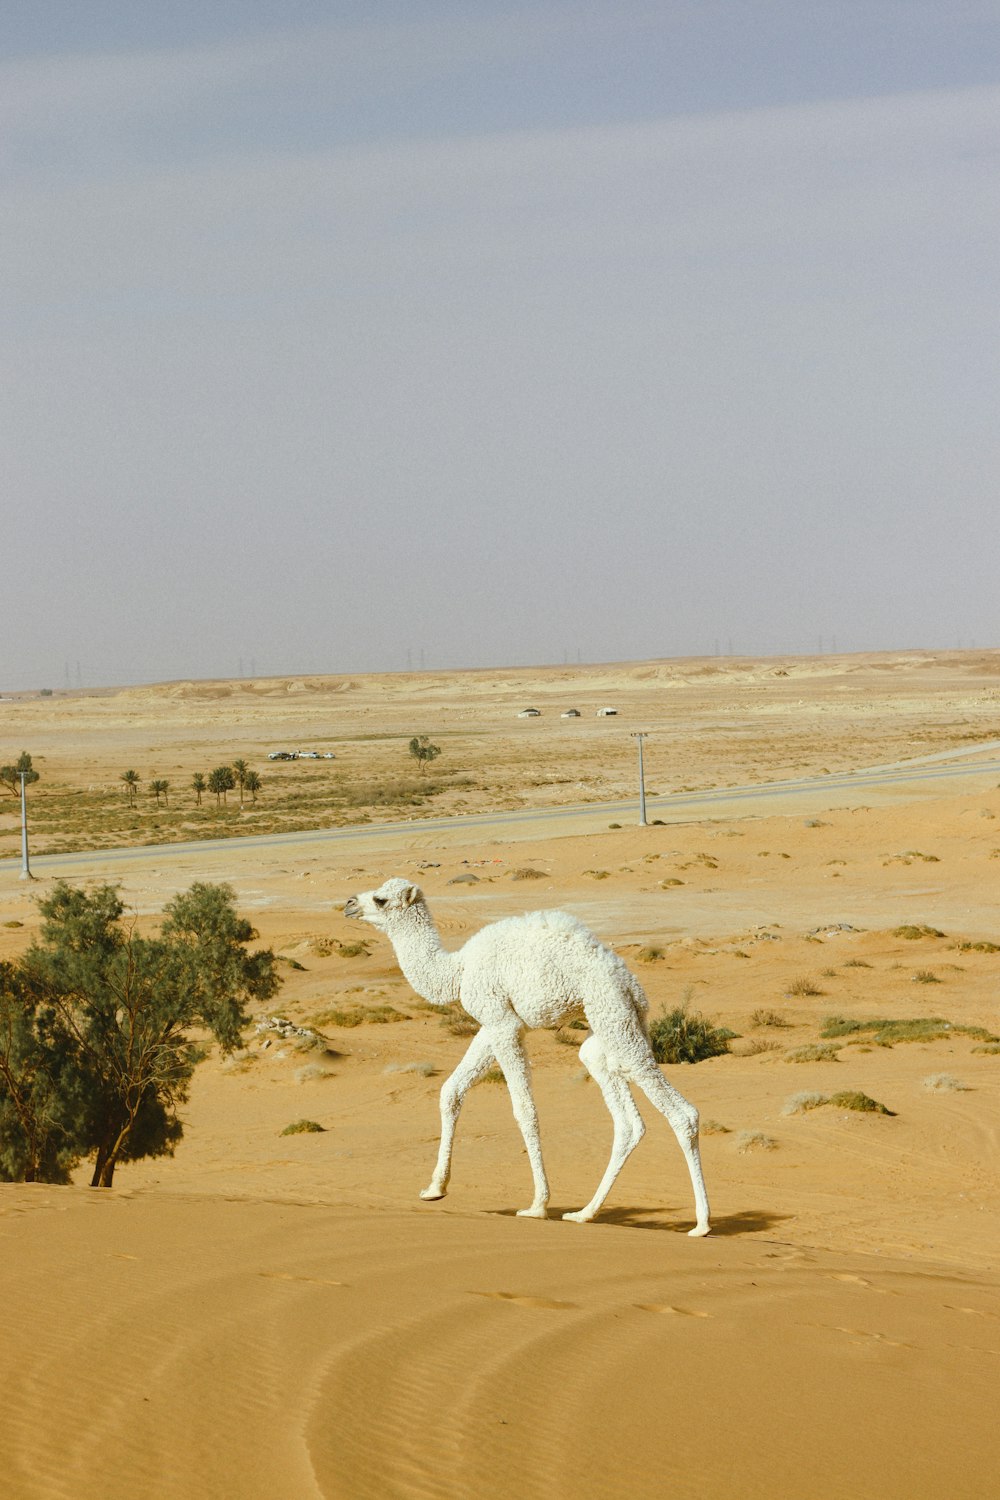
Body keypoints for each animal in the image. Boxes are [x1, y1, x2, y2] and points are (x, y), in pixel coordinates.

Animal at [344, 876, 710, 1236]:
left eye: (380, 899)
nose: (348, 904)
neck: (458, 970)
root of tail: (631, 985)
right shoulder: (493, 1023)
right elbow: (451, 1090)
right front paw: (435, 1188)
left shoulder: (502, 1022)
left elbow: (524, 1110)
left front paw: (538, 1204)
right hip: (608, 1031)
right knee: (626, 1118)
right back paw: (584, 1213)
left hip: (611, 1014)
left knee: (682, 1113)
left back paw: (702, 1224)